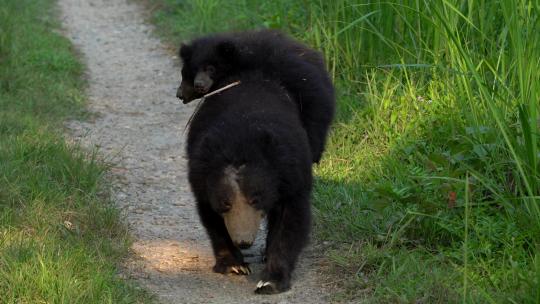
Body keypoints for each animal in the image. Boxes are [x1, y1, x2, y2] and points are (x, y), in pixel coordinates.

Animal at [186, 69, 312, 294]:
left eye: (256, 199)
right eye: (225, 203)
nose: (244, 241)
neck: (240, 144)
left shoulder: (292, 174)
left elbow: (291, 222)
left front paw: (270, 281)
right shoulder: (201, 179)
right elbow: (212, 219)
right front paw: (234, 265)